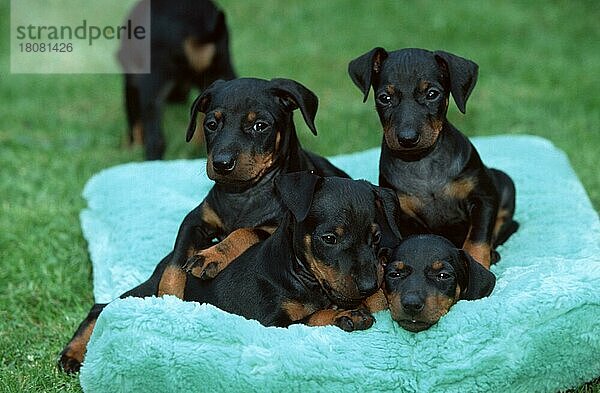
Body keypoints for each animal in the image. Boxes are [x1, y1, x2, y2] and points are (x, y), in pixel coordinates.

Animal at [58, 171, 400, 370]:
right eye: (329, 239)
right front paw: (346, 315)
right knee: (102, 307)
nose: (369, 285)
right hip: (150, 292)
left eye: (375, 238)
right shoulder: (268, 323)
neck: (300, 274)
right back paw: (73, 354)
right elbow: (307, 320)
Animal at [118, 0, 236, 159]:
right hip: (225, 69)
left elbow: (133, 119)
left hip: (152, 86)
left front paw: (131, 148)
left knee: (156, 141)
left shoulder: (132, 82)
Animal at [157, 77, 350, 298]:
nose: (221, 164)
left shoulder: (276, 230)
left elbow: (245, 231)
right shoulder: (196, 219)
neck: (243, 193)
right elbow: (175, 262)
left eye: (260, 126)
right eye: (211, 125)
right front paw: (167, 297)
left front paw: (212, 256)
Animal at [350, 45, 516, 266]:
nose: (407, 138)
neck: (422, 162)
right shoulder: (403, 217)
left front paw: (479, 263)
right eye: (384, 98)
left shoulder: (483, 198)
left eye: (432, 94)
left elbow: (477, 239)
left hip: (504, 183)